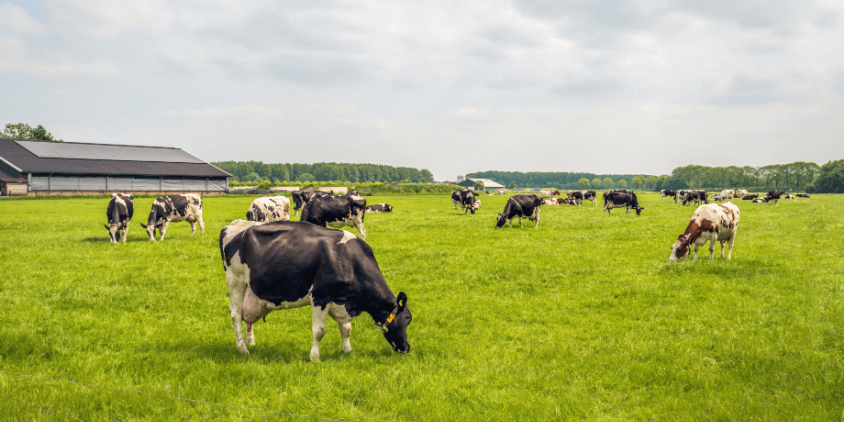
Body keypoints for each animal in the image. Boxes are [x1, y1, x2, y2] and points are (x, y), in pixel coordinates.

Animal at [219, 220, 411, 360]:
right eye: (406, 320)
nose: (406, 348)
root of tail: (235, 224)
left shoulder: (340, 300)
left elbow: (346, 328)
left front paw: (348, 351)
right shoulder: (320, 296)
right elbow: (319, 330)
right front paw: (314, 357)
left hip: (250, 289)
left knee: (247, 318)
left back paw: (250, 342)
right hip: (235, 280)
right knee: (236, 314)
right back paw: (242, 349)